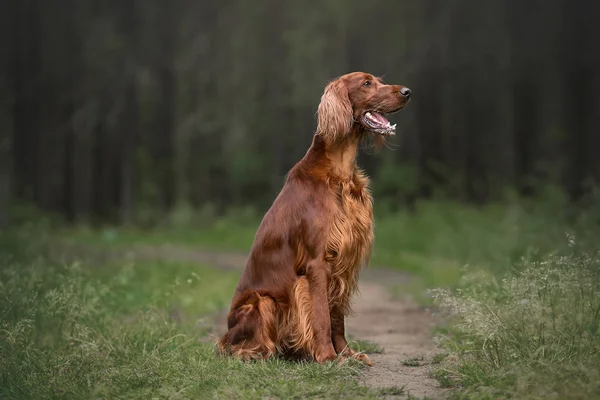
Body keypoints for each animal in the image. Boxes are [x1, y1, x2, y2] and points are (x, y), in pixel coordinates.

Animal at [218, 72, 410, 366]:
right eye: (366, 83)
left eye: (379, 80)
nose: (408, 92)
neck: (339, 173)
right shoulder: (317, 262)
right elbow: (321, 316)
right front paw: (328, 356)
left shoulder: (343, 262)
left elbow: (337, 317)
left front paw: (347, 353)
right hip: (262, 302)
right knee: (233, 346)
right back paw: (258, 353)